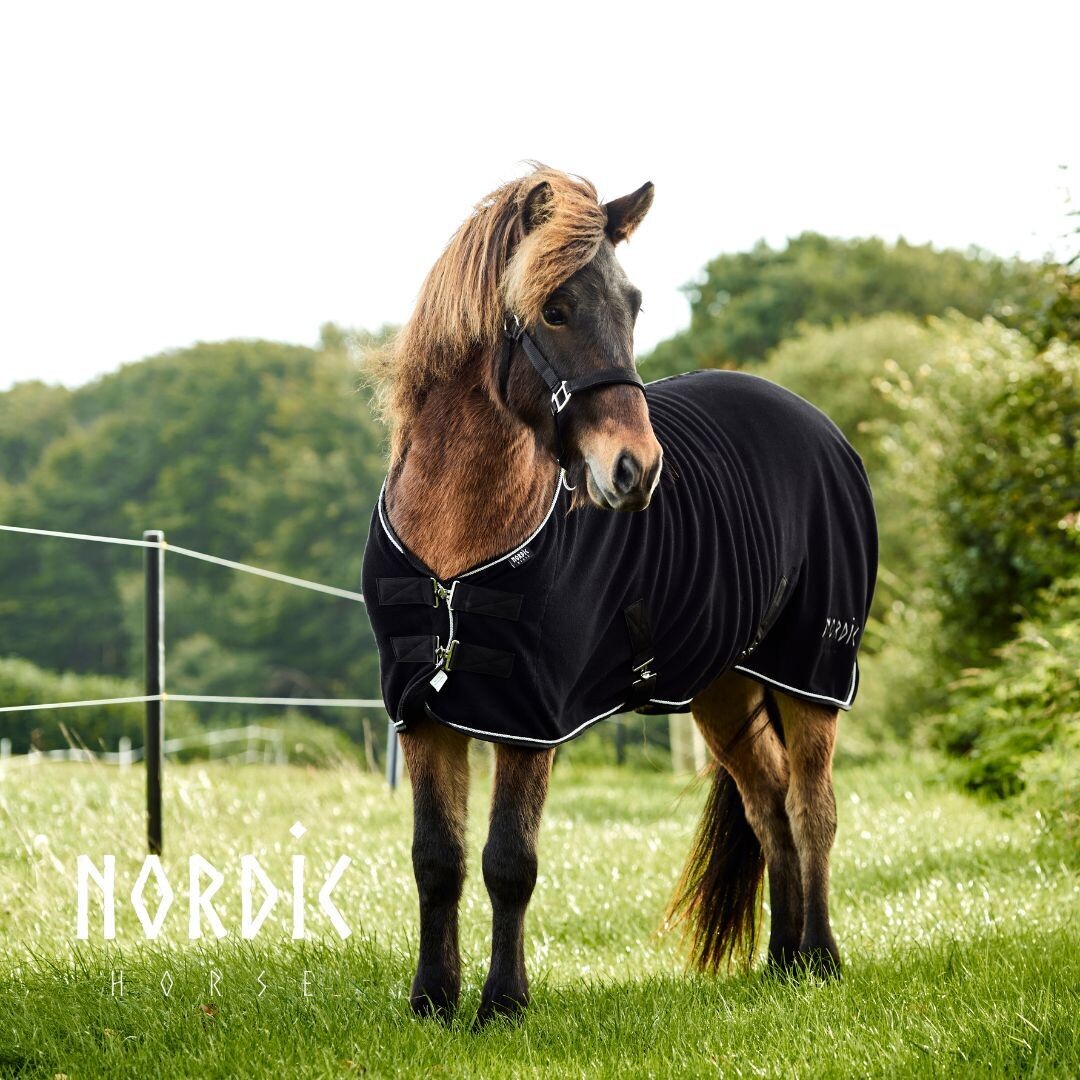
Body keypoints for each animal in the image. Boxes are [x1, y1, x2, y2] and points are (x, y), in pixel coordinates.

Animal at [362, 166, 877, 1026]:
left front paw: (503, 1005)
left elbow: (509, 860)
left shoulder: (527, 718)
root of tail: (816, 425)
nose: (636, 469)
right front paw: (432, 1000)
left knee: (813, 809)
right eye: (554, 309)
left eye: (631, 305)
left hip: (812, 673)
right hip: (724, 687)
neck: (457, 542)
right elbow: (436, 859)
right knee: (769, 805)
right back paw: (781, 963)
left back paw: (821, 958)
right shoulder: (423, 712)